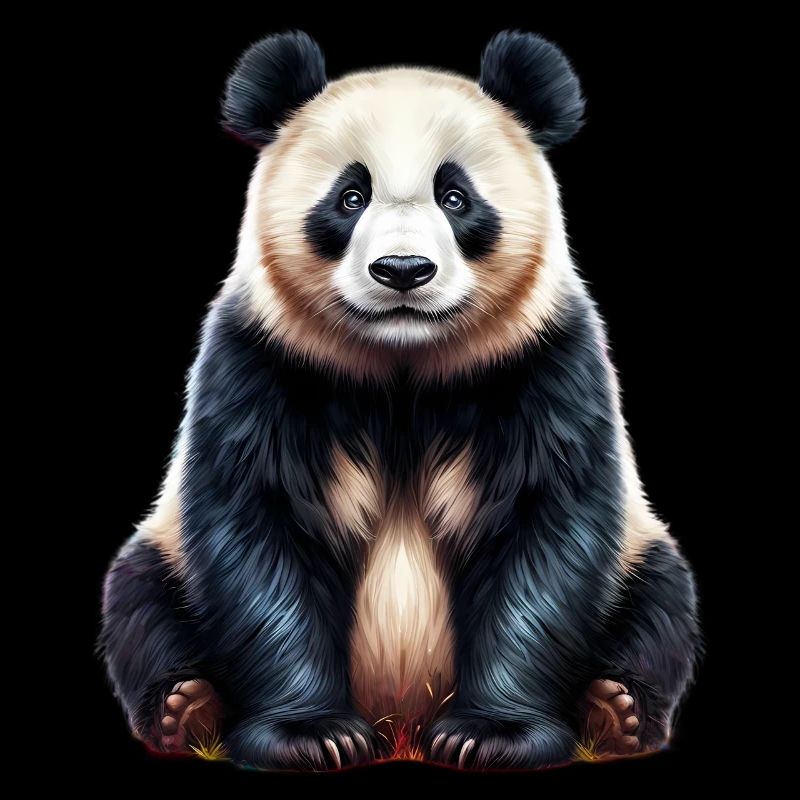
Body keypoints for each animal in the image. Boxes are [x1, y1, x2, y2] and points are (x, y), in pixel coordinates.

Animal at [100, 30, 699, 770]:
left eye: (457, 197)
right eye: (350, 196)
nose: (404, 270)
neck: (402, 363)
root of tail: (401, 722)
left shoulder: (544, 362)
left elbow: (545, 529)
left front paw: (491, 736)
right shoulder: (261, 361)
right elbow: (260, 529)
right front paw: (311, 736)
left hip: (637, 555)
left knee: (662, 603)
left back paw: (617, 712)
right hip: (167, 553)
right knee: (139, 600)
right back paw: (185, 709)